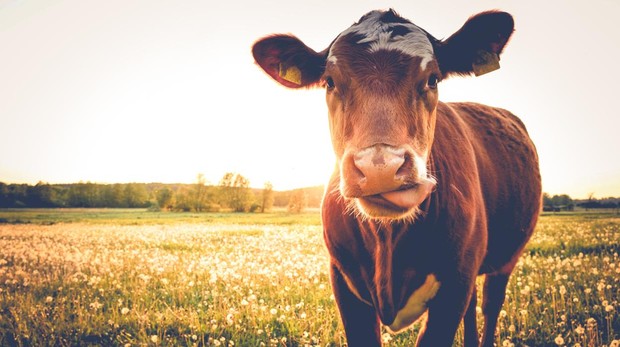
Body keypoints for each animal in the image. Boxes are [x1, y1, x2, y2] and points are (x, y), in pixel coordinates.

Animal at [252, 8, 544, 347]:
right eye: (330, 81)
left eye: (432, 78)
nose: (380, 168)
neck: (387, 240)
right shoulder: (343, 282)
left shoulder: (454, 284)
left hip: (506, 258)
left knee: (490, 304)